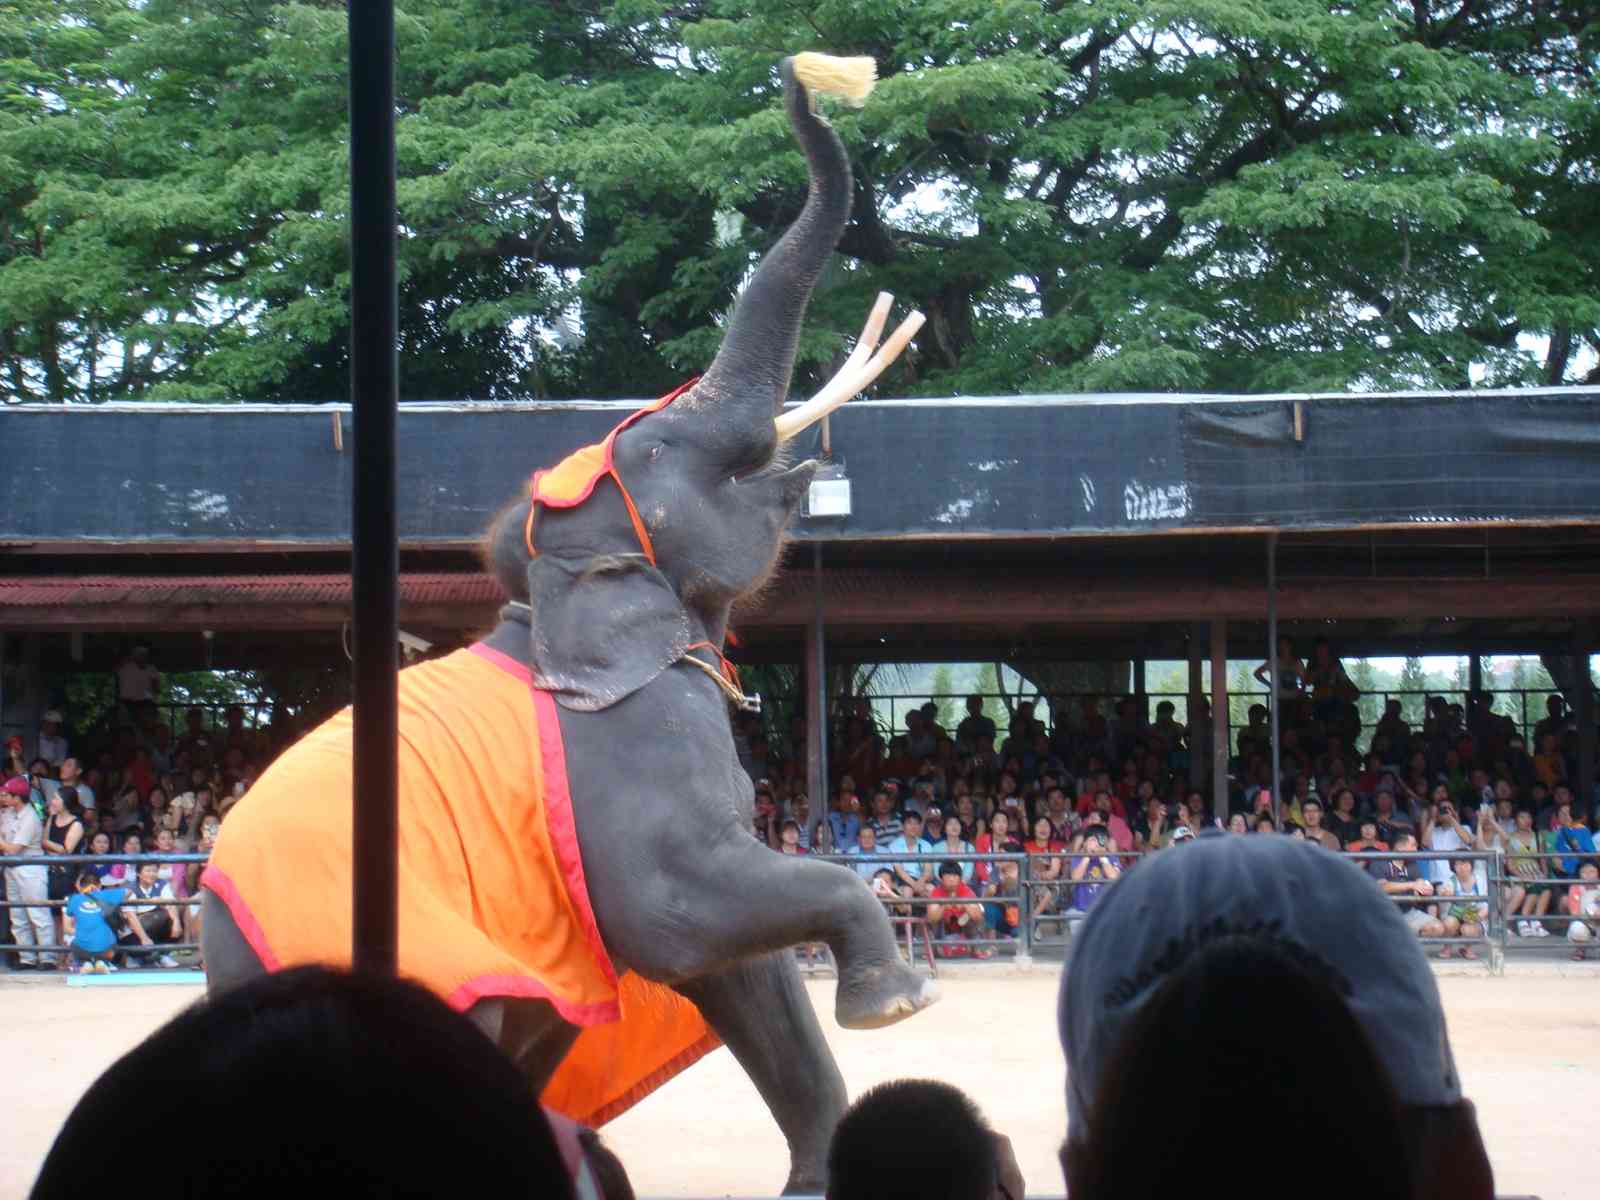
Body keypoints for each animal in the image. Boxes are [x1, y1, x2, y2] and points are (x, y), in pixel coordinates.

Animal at [206, 54, 940, 1196]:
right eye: (667, 453)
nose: (808, 77)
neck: (549, 592)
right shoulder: (635, 751)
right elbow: (680, 911)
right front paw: (898, 1003)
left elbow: (745, 975)